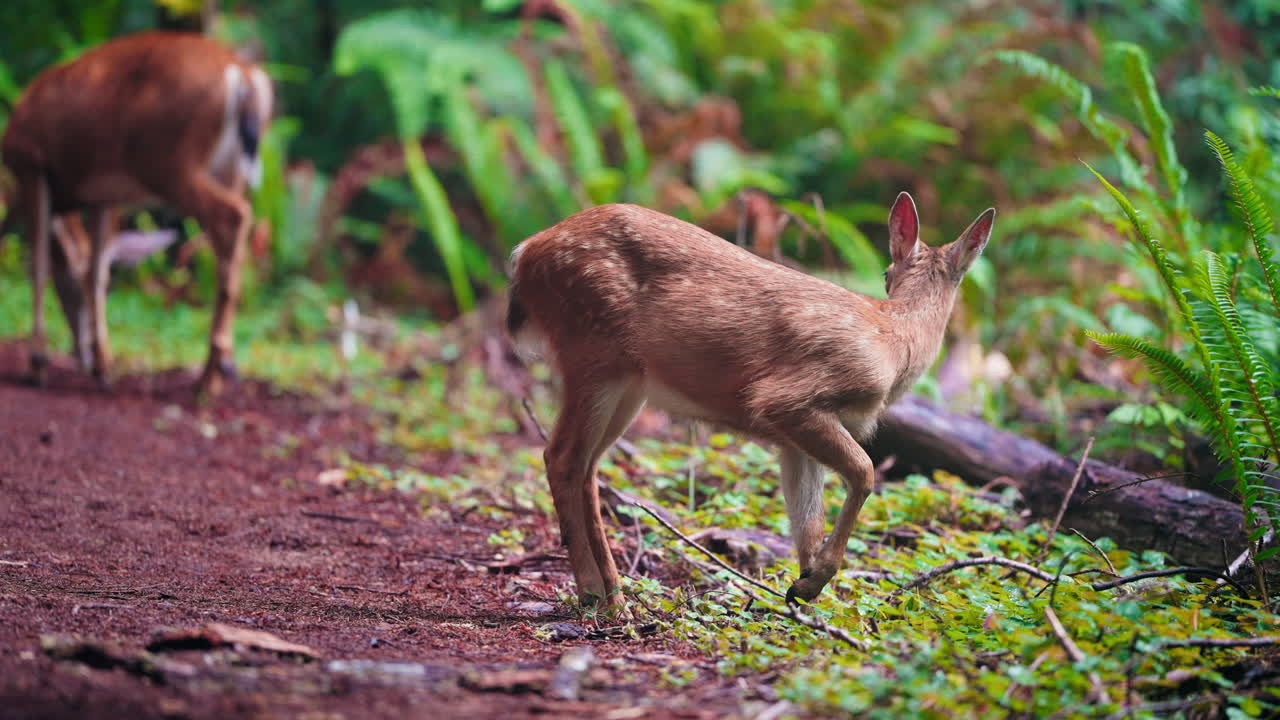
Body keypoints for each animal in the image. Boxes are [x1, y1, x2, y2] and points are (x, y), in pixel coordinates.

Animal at [2, 31, 272, 395]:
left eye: (67, 289)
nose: (79, 352)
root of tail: (242, 74)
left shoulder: (30, 163)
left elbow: (39, 266)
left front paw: (38, 363)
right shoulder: (101, 196)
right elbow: (96, 271)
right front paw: (102, 365)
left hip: (168, 161)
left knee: (233, 216)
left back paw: (210, 375)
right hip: (229, 172)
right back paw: (217, 369)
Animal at [506, 194, 995, 607]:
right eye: (885, 275)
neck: (894, 342)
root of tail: (525, 252)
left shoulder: (794, 440)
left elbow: (807, 521)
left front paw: (803, 595)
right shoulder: (789, 397)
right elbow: (865, 471)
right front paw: (814, 583)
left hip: (628, 383)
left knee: (586, 465)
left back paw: (610, 591)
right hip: (593, 349)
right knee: (562, 456)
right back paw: (601, 597)